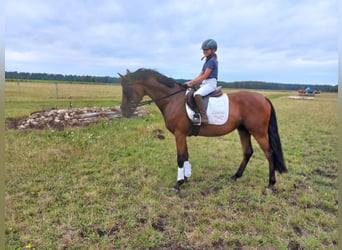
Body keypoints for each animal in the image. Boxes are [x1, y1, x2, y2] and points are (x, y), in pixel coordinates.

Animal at [119, 67, 288, 192]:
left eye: (127, 89)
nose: (124, 111)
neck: (173, 99)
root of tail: (263, 98)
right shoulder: (182, 135)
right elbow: (185, 155)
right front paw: (186, 178)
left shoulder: (179, 134)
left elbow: (180, 157)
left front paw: (178, 184)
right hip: (243, 130)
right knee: (248, 152)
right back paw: (235, 176)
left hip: (258, 132)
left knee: (269, 154)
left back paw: (270, 184)